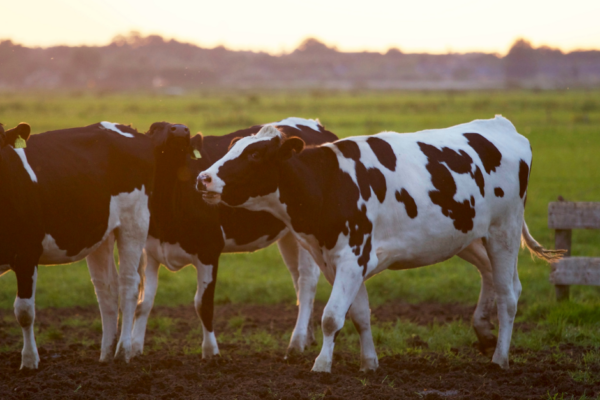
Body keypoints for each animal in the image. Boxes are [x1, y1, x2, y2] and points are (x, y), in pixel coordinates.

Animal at [0, 119, 191, 368]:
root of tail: (129, 130)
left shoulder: (26, 253)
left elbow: (24, 311)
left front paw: (30, 361)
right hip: (101, 234)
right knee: (106, 289)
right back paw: (106, 353)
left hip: (134, 222)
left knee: (129, 284)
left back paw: (123, 351)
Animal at [129, 117, 340, 358]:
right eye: (154, 128)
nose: (181, 130)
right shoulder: (150, 251)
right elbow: (143, 303)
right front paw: (134, 349)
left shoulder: (209, 249)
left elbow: (203, 304)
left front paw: (211, 352)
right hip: (290, 235)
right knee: (297, 279)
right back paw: (307, 337)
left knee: (306, 282)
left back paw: (296, 343)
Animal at [198, 117, 568, 374]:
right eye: (232, 147)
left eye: (254, 154)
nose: (203, 178)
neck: (330, 183)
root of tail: (501, 125)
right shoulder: (338, 261)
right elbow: (359, 315)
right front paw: (369, 363)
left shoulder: (352, 257)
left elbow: (331, 317)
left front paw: (321, 365)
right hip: (467, 236)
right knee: (496, 278)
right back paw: (485, 334)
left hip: (503, 231)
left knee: (509, 296)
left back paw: (500, 358)